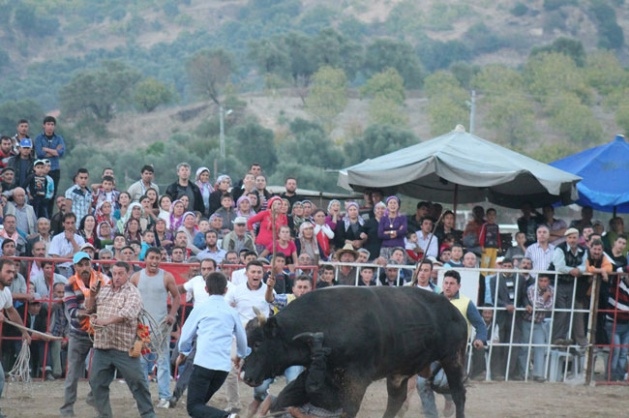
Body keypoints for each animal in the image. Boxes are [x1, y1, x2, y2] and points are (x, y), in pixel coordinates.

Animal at [240, 286, 472, 416]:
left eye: (258, 343)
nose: (245, 376)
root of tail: (454, 311)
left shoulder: (356, 380)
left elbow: (349, 409)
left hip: (453, 358)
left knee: (458, 394)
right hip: (399, 373)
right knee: (395, 401)